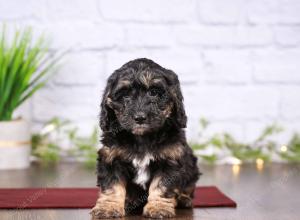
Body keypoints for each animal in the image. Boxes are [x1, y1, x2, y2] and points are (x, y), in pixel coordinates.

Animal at [90, 58, 200, 218]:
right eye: (125, 95)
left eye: (154, 93)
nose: (140, 117)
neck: (142, 138)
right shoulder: (111, 158)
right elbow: (112, 184)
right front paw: (108, 207)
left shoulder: (170, 159)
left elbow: (162, 185)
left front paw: (158, 207)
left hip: (192, 167)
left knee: (188, 187)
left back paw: (184, 199)